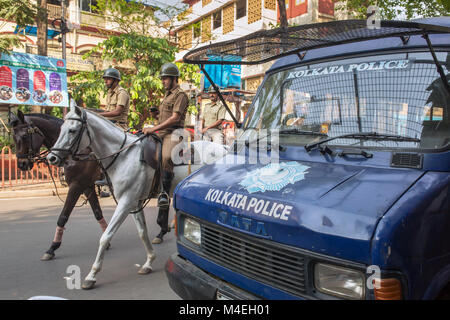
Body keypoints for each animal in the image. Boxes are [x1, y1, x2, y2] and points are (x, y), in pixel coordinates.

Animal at [8, 110, 109, 260]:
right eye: (14, 137)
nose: (22, 164)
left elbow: (63, 217)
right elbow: (97, 212)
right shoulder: (87, 186)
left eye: (25, 136)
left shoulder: (76, 185)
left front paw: (53, 247)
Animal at [47, 104, 227, 288]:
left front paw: (91, 275)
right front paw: (149, 261)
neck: (122, 156)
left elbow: (105, 236)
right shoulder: (134, 202)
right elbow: (142, 232)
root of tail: (224, 149)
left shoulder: (125, 202)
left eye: (72, 130)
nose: (51, 158)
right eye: (61, 129)